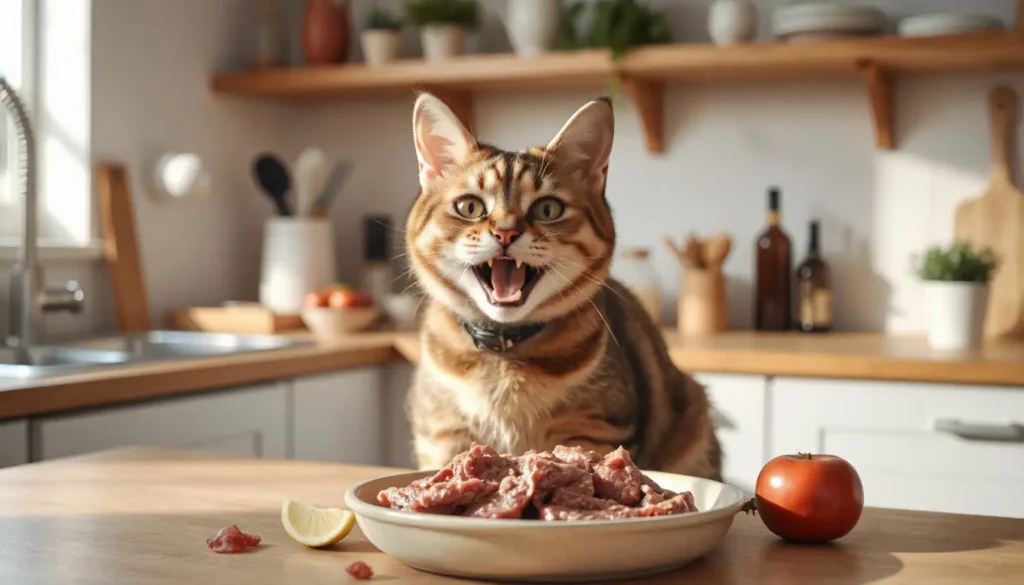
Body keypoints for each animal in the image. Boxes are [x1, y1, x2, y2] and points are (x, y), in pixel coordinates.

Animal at [399, 92, 720, 481]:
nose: (505, 232)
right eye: (470, 206)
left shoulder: (594, 430)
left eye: (548, 209)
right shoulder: (442, 435)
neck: (505, 359)